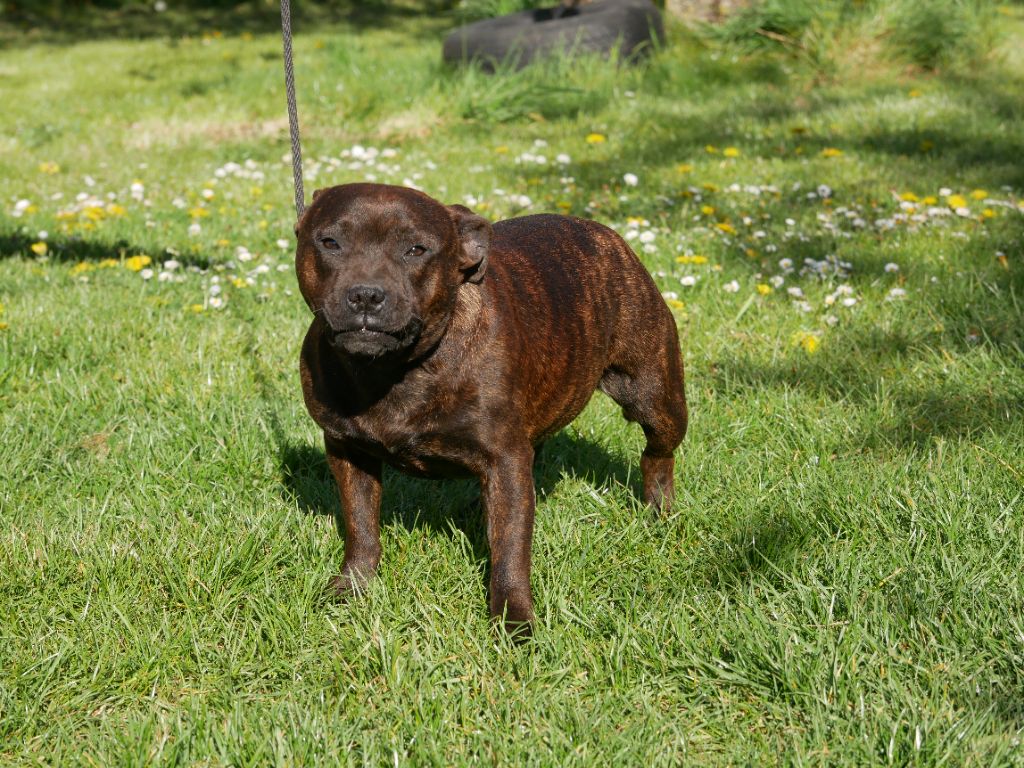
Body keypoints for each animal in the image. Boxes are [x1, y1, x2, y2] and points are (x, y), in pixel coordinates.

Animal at [294, 182, 688, 638]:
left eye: (416, 249)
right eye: (330, 242)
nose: (366, 294)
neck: (392, 370)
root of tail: (608, 236)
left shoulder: (503, 459)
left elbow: (510, 547)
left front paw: (514, 620)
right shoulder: (348, 451)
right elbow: (360, 525)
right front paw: (351, 588)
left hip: (656, 397)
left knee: (658, 454)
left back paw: (658, 511)